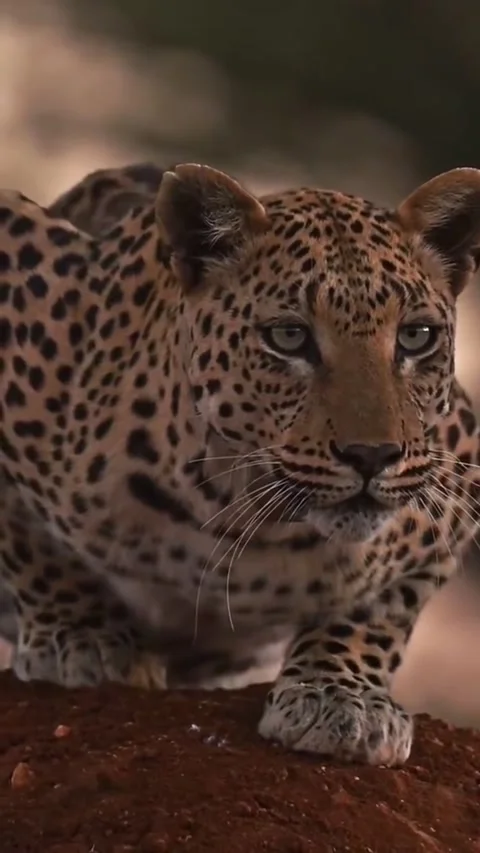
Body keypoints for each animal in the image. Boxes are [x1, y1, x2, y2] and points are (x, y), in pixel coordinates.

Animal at [1, 158, 480, 768]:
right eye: (289, 336)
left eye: (417, 337)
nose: (372, 455)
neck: (240, 513)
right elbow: (29, 540)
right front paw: (79, 636)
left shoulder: (454, 483)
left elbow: (379, 610)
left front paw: (341, 696)